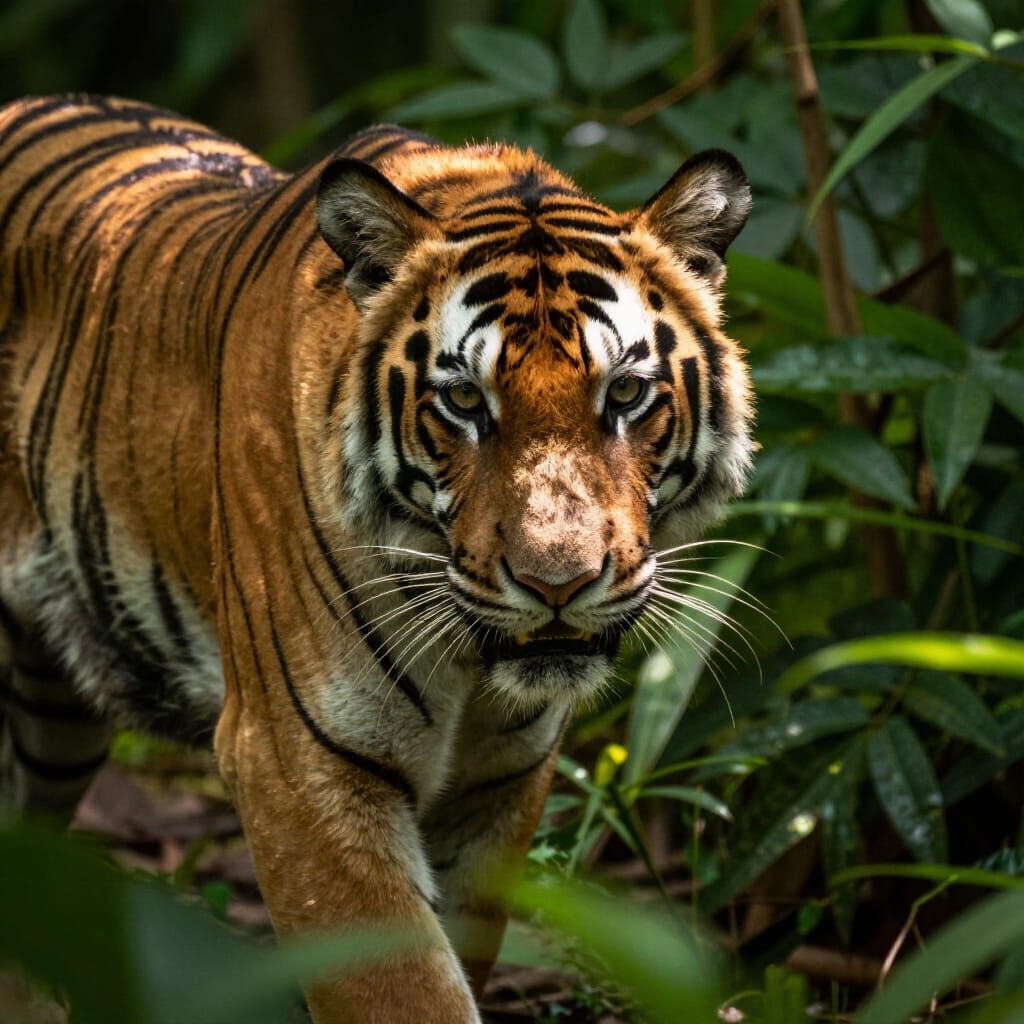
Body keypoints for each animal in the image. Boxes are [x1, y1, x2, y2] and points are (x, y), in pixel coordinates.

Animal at [0, 93, 753, 1022]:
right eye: (463, 400)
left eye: (626, 392)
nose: (558, 583)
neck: (471, 666)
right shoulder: (297, 760)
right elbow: (402, 988)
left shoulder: (500, 781)